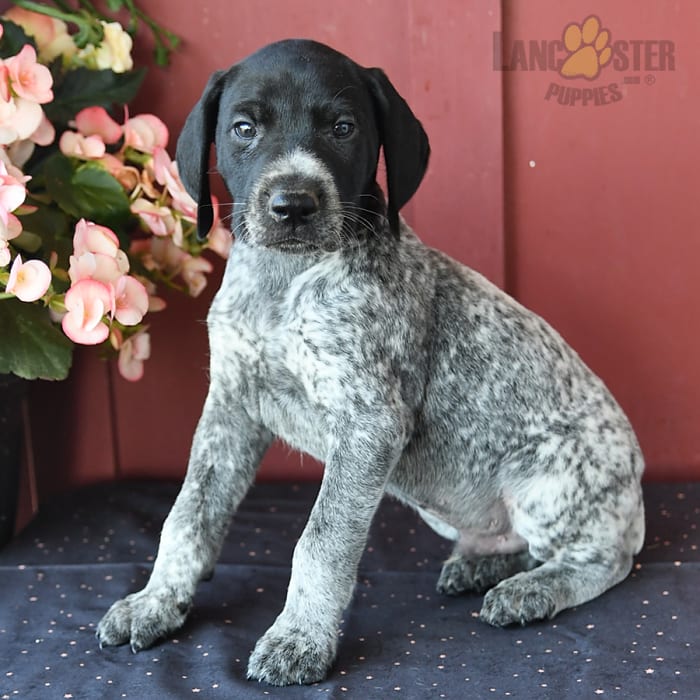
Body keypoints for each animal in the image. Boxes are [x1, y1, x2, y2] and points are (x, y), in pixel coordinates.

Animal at [94, 38, 644, 684]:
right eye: (244, 128)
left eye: (343, 128)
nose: (293, 205)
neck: (284, 283)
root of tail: (635, 474)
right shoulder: (231, 410)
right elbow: (188, 515)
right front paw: (158, 600)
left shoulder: (368, 424)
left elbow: (321, 540)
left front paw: (300, 638)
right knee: (518, 544)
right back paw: (484, 567)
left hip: (551, 485)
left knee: (606, 560)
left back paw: (534, 589)